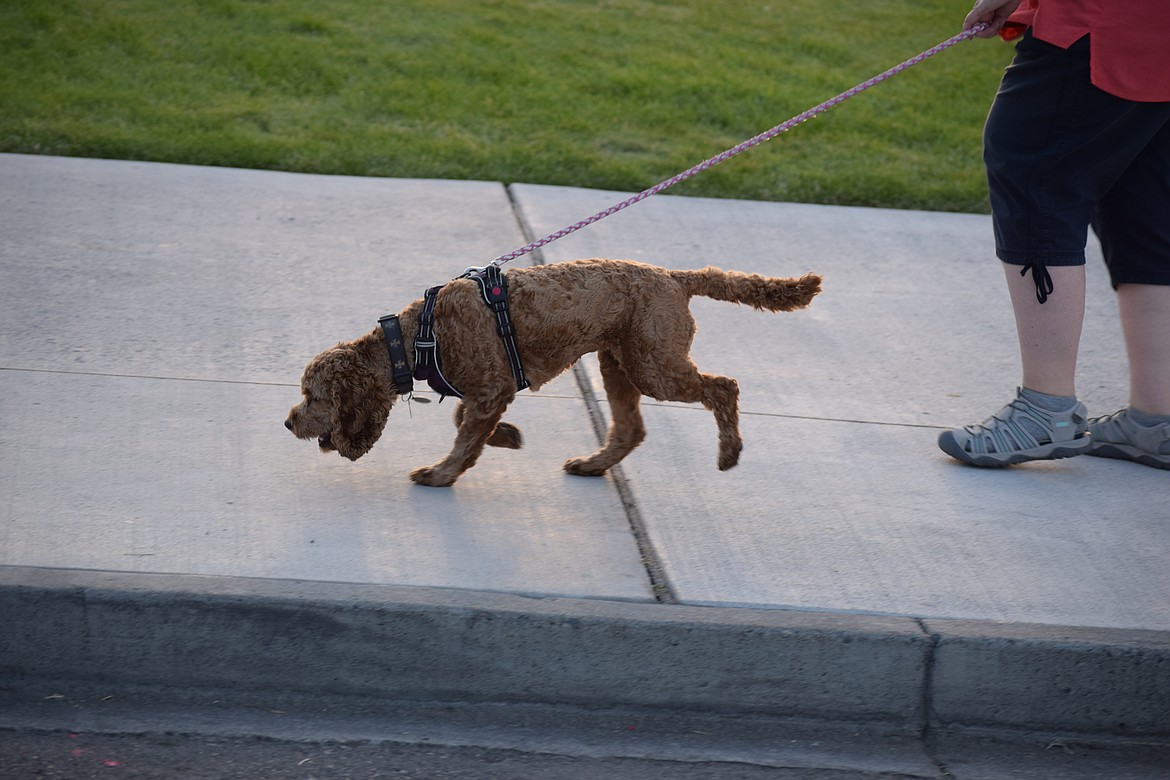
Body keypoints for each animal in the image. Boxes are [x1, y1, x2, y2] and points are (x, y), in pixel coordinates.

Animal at [284, 259, 819, 484]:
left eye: (313, 396)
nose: (288, 422)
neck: (417, 337)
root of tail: (674, 276)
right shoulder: (488, 394)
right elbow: (466, 425)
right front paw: (505, 437)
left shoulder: (491, 389)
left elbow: (463, 436)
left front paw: (442, 473)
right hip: (619, 364)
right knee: (631, 429)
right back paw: (593, 464)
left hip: (654, 366)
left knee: (724, 387)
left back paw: (729, 452)